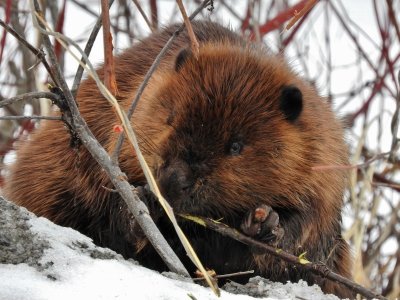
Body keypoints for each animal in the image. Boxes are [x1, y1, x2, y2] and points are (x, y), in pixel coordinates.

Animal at [3, 21, 354, 298]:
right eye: (170, 117)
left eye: (236, 145)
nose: (174, 179)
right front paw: (140, 207)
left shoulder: (322, 169)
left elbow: (303, 235)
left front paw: (265, 222)